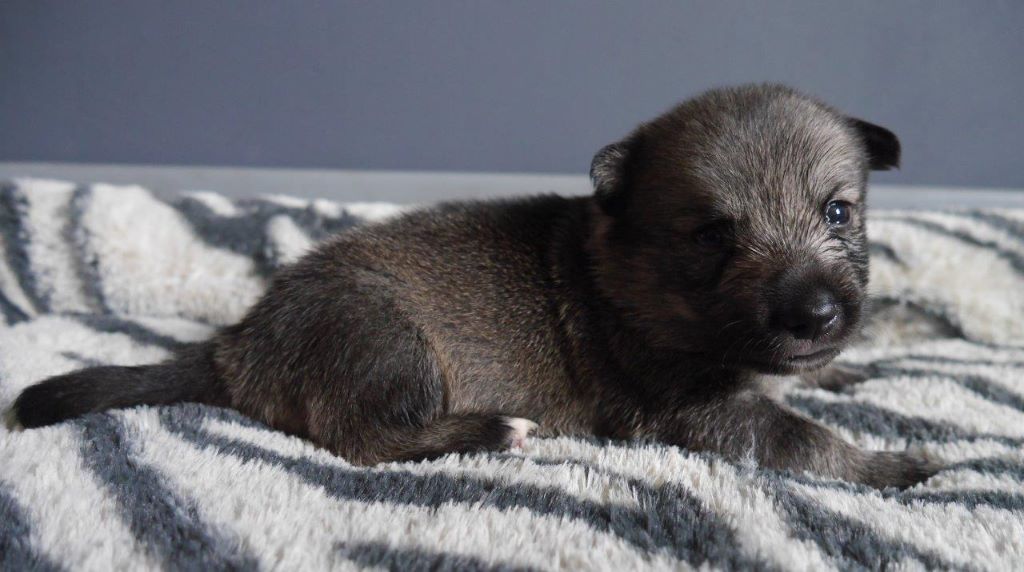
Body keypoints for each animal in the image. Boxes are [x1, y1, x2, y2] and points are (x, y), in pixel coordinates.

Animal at [12, 84, 935, 488]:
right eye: (712, 237)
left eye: (840, 211)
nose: (817, 315)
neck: (627, 275)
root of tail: (239, 346)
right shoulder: (693, 410)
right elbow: (799, 439)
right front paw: (898, 466)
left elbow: (806, 391)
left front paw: (851, 369)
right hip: (384, 339)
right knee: (361, 438)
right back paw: (495, 430)